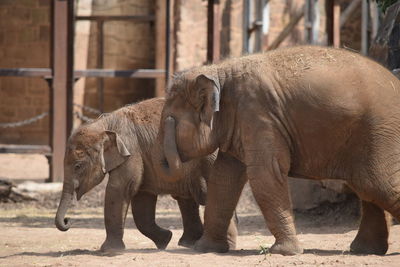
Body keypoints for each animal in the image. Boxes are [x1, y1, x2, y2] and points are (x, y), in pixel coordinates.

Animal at [158, 46, 400, 258]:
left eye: (170, 119)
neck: (219, 70)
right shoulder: (241, 123)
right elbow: (224, 179)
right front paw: (205, 249)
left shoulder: (258, 115)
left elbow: (265, 175)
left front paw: (284, 253)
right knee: (367, 186)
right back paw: (365, 251)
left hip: (379, 133)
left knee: (378, 185)